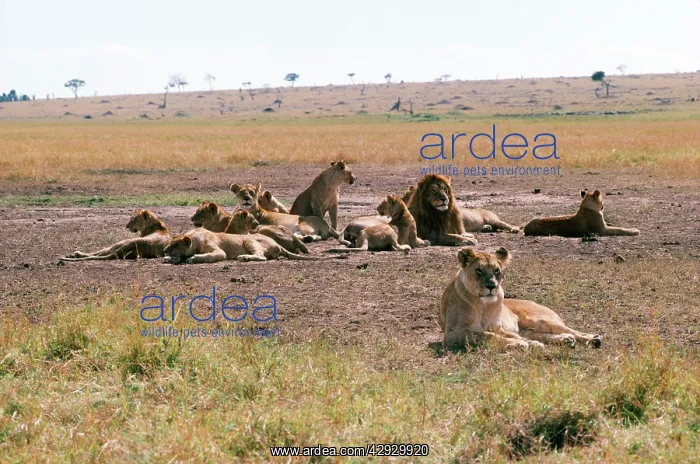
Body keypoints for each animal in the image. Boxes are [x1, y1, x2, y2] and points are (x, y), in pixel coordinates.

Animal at [440, 247, 602, 350]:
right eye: (478, 270)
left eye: (496, 270)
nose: (491, 286)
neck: (484, 305)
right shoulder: (455, 333)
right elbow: (489, 336)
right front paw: (522, 344)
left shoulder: (497, 327)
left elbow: (498, 335)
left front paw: (526, 344)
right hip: (528, 329)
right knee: (540, 335)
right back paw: (566, 339)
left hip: (540, 320)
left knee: (572, 331)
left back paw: (593, 339)